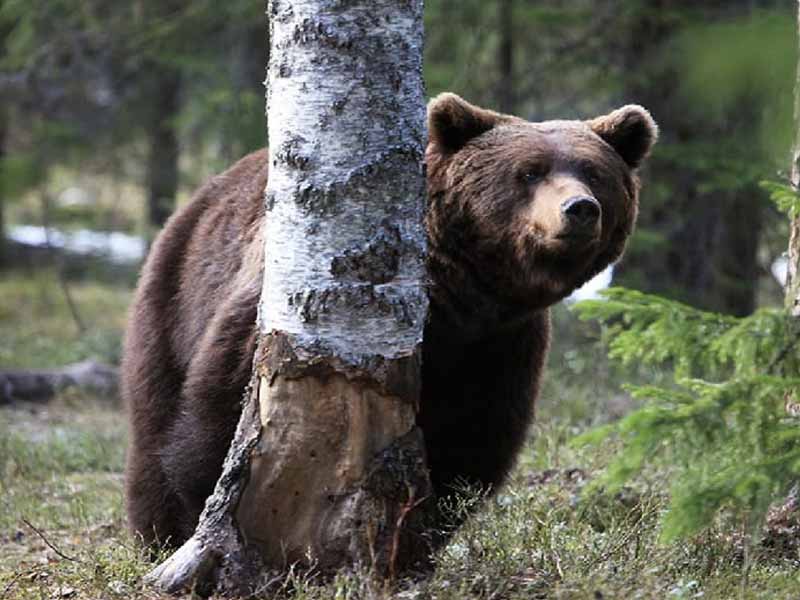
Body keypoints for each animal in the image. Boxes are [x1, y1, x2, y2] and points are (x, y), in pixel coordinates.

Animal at [123, 94, 656, 548]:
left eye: (593, 172)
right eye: (529, 172)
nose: (579, 208)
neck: (461, 298)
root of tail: (200, 197)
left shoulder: (499, 345)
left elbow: (475, 439)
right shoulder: (281, 309)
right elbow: (222, 414)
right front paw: (203, 511)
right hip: (173, 299)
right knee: (154, 419)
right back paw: (157, 532)